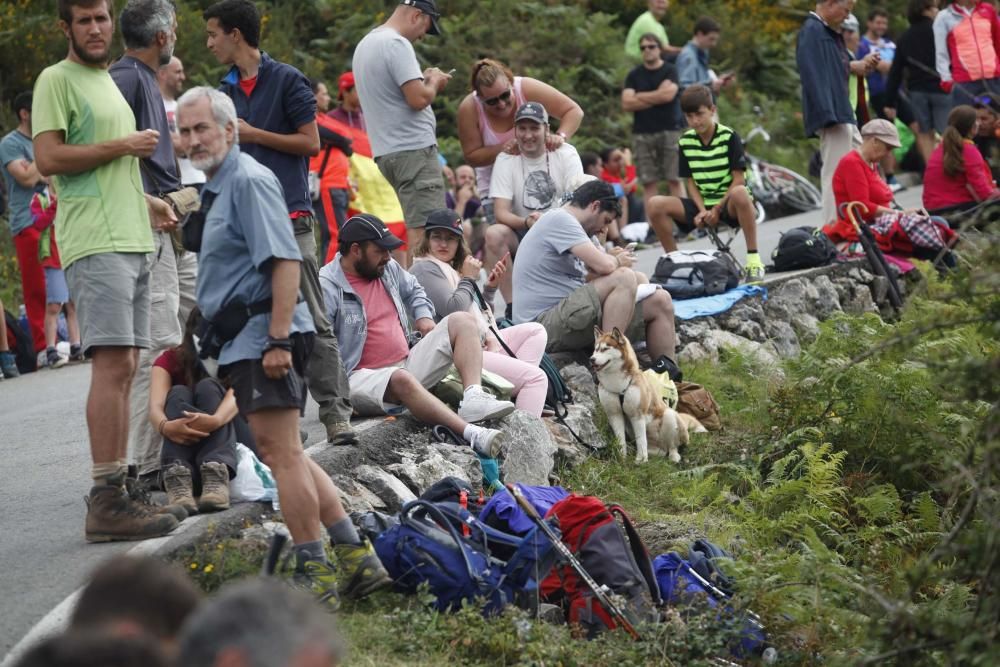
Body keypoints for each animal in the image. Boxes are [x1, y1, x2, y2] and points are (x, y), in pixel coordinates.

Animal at [592, 328, 688, 464]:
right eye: (596, 349)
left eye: (605, 349)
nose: (591, 359)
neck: (617, 385)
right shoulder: (614, 414)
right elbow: (621, 440)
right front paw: (622, 458)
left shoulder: (637, 415)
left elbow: (641, 440)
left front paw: (641, 460)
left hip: (670, 416)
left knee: (673, 445)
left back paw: (674, 456)